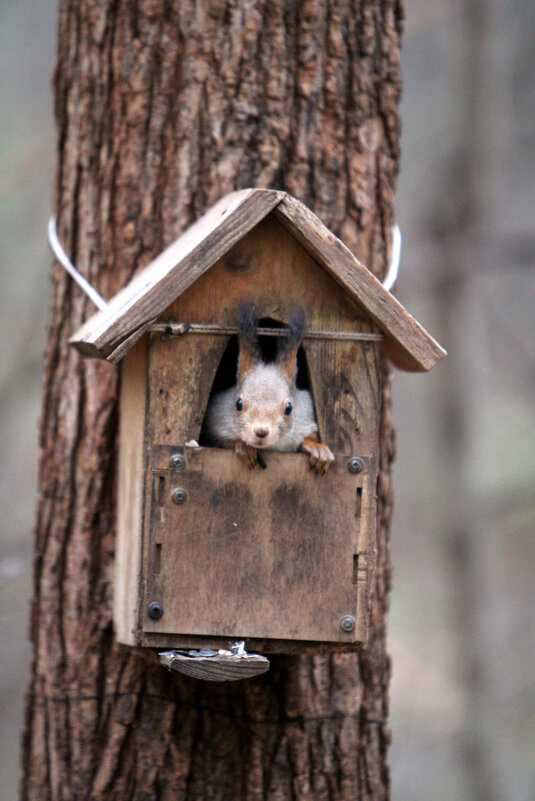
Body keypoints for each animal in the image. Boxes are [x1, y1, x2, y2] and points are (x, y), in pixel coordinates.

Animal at [205, 304, 336, 472]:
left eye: (289, 408)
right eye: (238, 404)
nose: (261, 431)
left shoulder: (304, 414)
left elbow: (309, 434)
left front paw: (317, 448)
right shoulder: (217, 420)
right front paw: (244, 446)